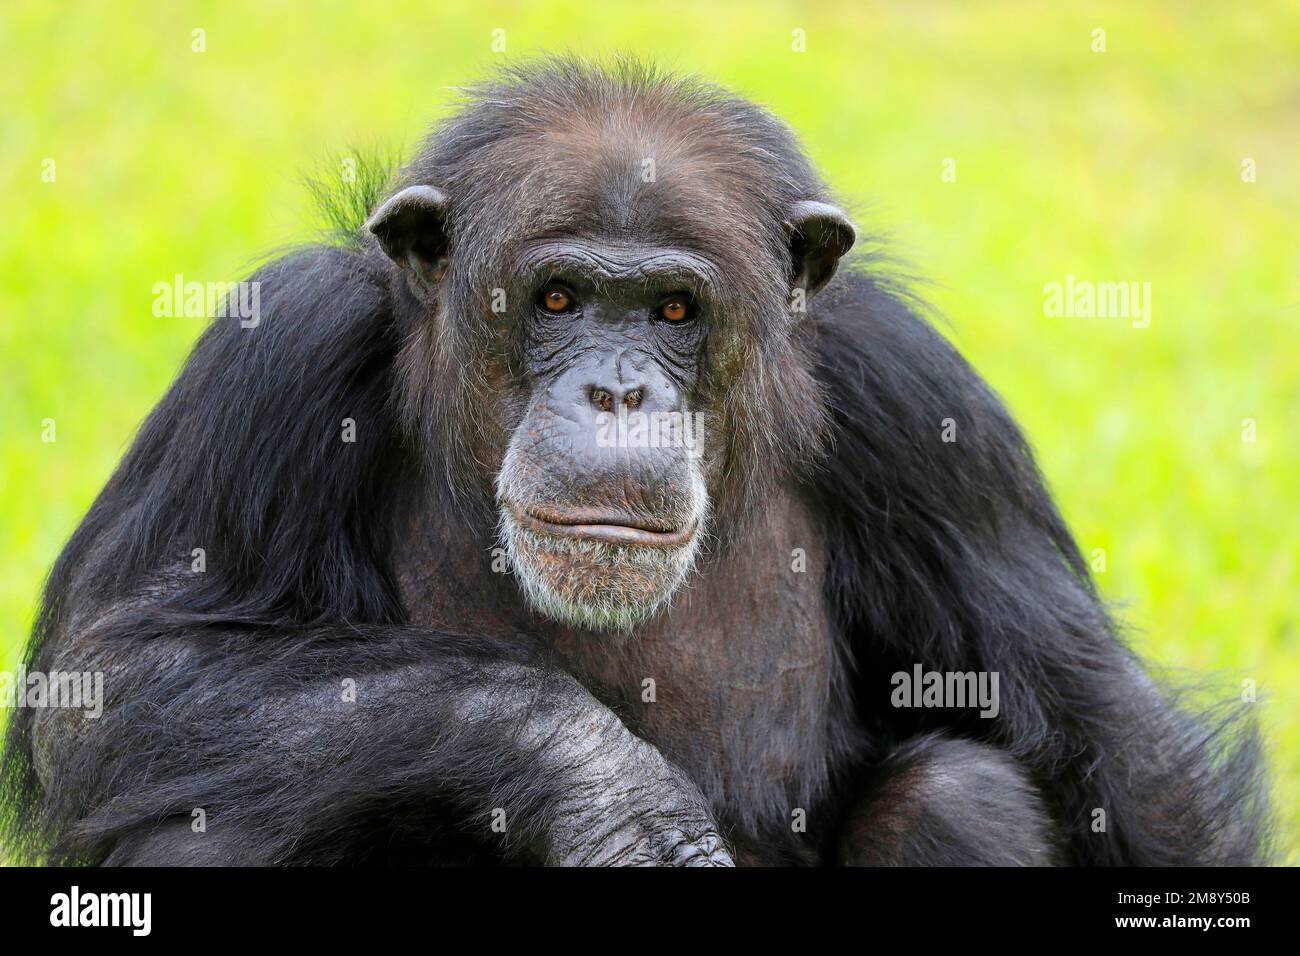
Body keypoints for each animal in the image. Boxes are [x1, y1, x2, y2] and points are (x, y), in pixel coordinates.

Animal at [0, 57, 1263, 868]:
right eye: (558, 298)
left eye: (672, 309)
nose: (617, 389)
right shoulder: (275, 357)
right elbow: (124, 669)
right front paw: (600, 779)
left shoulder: (923, 410)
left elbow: (1108, 744)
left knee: (959, 791)